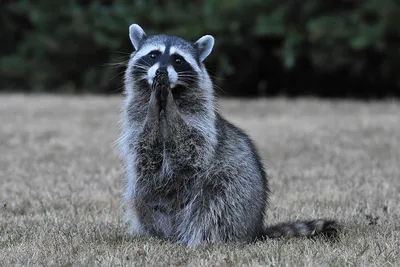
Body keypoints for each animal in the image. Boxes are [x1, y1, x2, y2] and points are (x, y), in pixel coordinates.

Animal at [119, 24, 340, 248]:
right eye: (153, 55)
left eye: (178, 60)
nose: (162, 72)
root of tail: (254, 230)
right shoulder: (136, 124)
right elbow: (146, 149)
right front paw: (153, 108)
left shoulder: (202, 126)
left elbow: (188, 147)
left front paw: (170, 108)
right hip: (151, 200)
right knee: (141, 194)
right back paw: (159, 235)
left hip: (233, 190)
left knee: (216, 202)